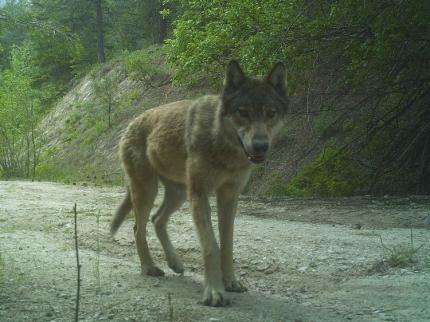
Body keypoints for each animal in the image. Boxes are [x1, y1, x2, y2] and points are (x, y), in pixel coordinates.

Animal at [111, 61, 288, 306]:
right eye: (243, 113)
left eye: (271, 114)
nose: (261, 146)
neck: (222, 144)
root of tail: (131, 123)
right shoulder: (200, 194)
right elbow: (211, 246)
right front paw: (214, 292)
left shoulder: (229, 197)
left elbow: (227, 245)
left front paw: (231, 282)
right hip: (148, 191)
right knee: (139, 228)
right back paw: (149, 267)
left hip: (178, 195)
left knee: (157, 220)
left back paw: (175, 263)